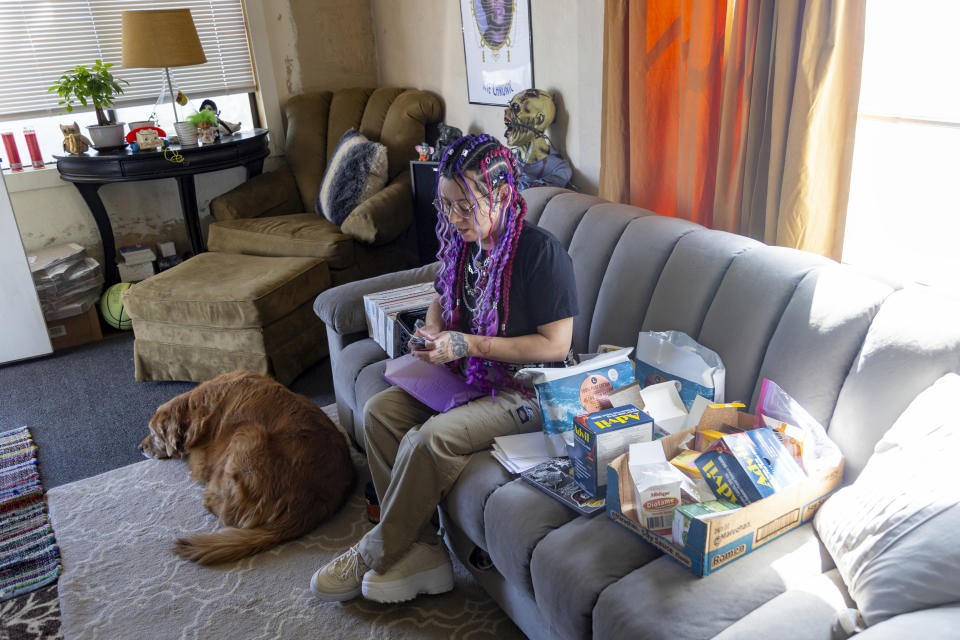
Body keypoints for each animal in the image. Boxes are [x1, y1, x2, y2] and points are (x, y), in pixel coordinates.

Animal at [141, 370, 354, 564]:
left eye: (153, 433)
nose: (140, 448)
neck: (193, 410)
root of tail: (305, 507)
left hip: (247, 433)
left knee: (222, 511)